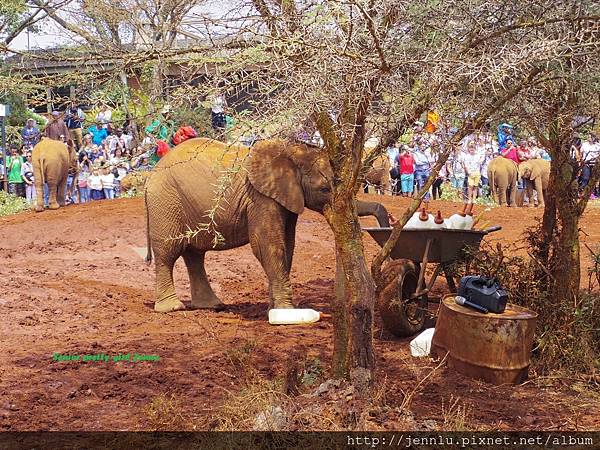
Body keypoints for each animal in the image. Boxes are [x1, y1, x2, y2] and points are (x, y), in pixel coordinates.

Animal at [143, 138, 392, 312]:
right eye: (324, 189)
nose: (387, 224)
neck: (291, 150)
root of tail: (150, 175)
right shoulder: (260, 197)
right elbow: (267, 244)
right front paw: (286, 311)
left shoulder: (286, 197)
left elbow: (287, 245)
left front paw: (275, 309)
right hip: (165, 203)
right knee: (168, 253)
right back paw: (172, 308)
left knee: (195, 255)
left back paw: (213, 306)